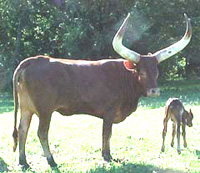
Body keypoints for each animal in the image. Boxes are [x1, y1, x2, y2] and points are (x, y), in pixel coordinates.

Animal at [12, 13, 192, 169]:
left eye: (156, 71)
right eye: (141, 71)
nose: (154, 91)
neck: (124, 77)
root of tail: (32, 61)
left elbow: (108, 134)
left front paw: (109, 155)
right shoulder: (109, 112)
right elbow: (107, 133)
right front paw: (106, 156)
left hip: (26, 108)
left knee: (22, 130)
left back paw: (23, 162)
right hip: (45, 110)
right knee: (41, 133)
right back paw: (51, 161)